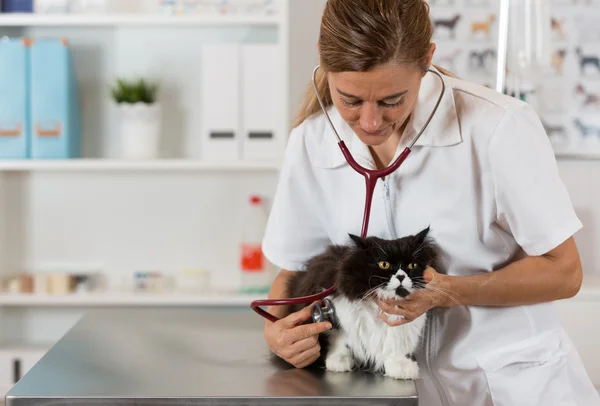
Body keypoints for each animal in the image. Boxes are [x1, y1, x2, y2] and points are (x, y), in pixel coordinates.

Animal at [286, 227, 440, 380]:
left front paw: (401, 367)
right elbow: (339, 339)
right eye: (384, 264)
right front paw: (338, 360)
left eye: (412, 265)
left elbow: (396, 347)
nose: (401, 276)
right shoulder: (337, 313)